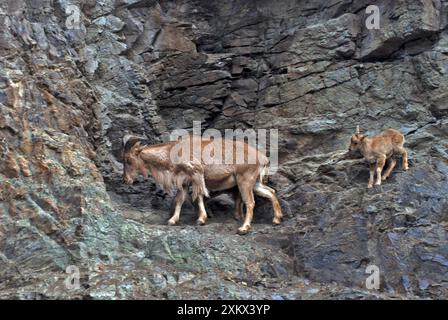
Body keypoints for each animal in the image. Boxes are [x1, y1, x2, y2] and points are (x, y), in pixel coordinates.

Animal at [121, 134, 284, 234]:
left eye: (128, 159)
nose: (126, 180)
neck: (172, 152)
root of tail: (262, 158)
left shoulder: (196, 175)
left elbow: (198, 196)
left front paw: (201, 219)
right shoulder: (185, 182)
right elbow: (181, 199)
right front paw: (173, 220)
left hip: (245, 180)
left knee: (250, 202)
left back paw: (243, 228)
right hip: (255, 182)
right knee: (271, 192)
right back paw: (276, 219)